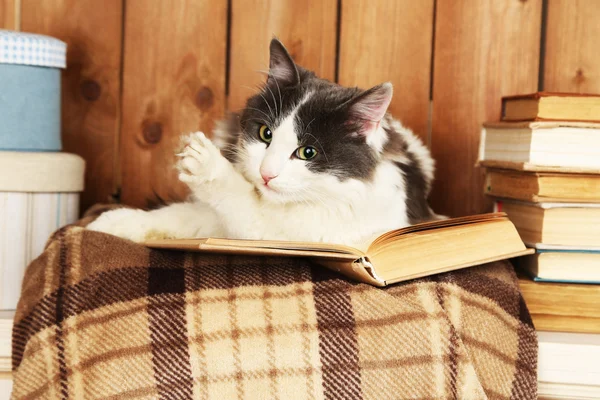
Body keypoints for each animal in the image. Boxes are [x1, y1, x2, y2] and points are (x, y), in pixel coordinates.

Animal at [86, 39, 440, 248]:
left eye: (307, 152)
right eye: (265, 134)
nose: (266, 174)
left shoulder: (300, 236)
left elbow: (240, 202)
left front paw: (205, 165)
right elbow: (177, 215)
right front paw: (108, 224)